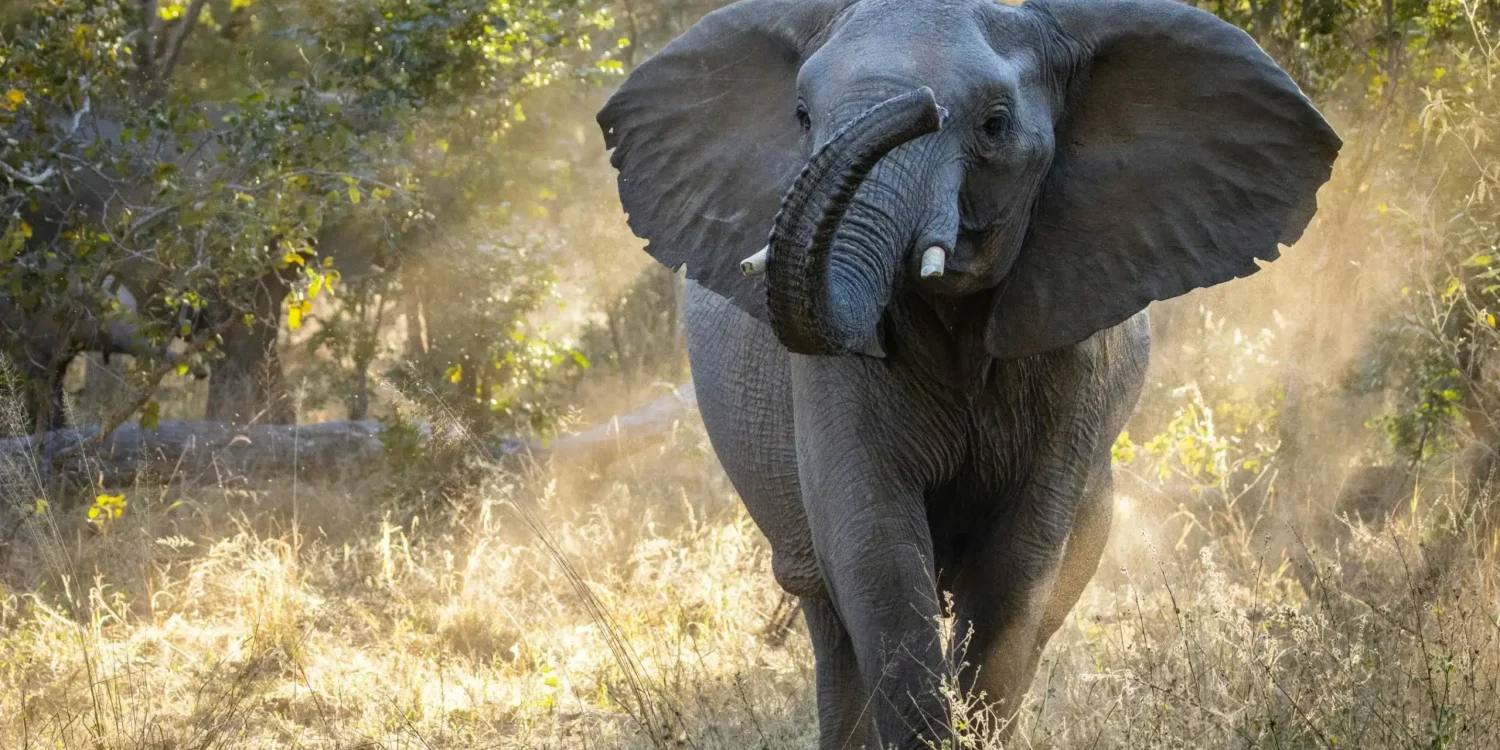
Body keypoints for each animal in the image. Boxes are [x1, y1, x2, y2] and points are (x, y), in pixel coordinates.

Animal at [598, 0, 1340, 747]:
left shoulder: (1074, 355)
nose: (918, 106)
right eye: (802, 116)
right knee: (829, 617)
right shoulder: (831, 377)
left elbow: (1016, 567)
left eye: (994, 125)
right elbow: (875, 550)